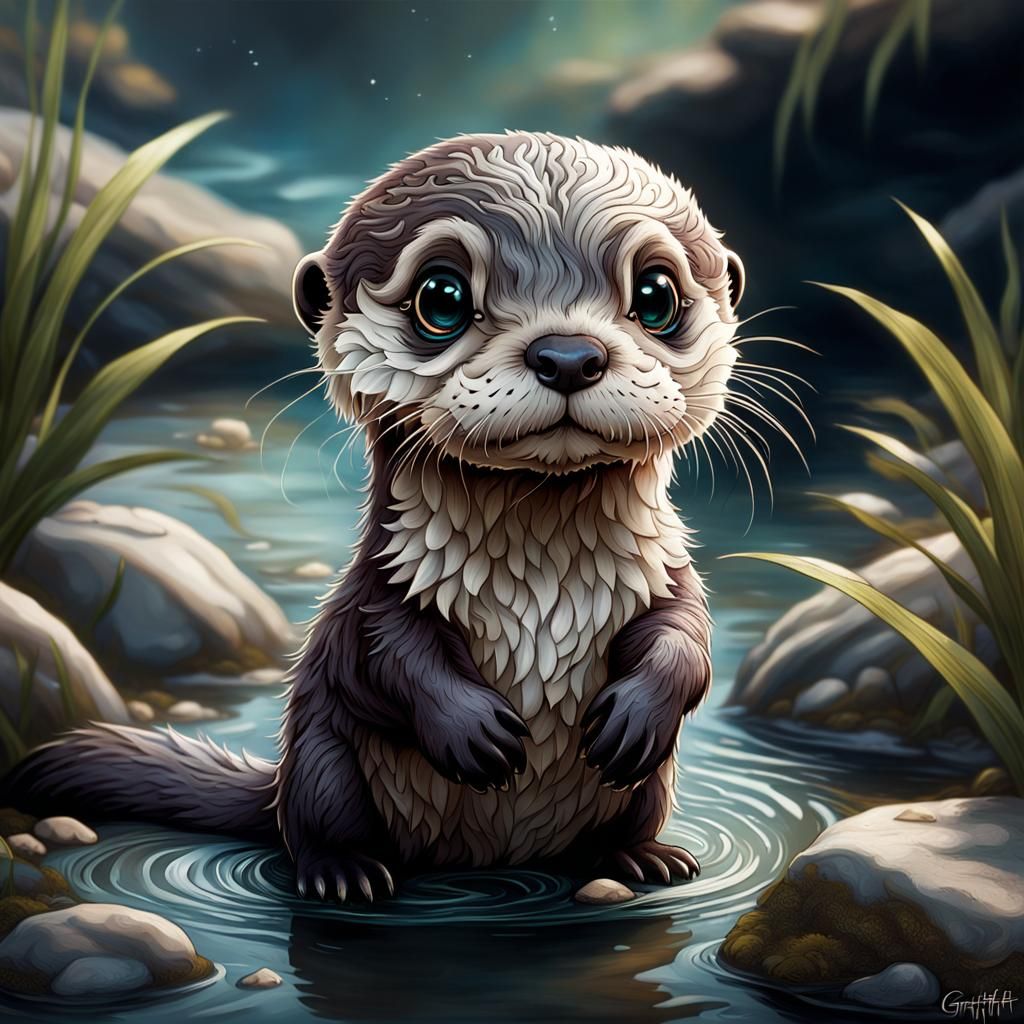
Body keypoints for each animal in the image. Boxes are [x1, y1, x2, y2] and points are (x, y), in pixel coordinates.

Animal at [6, 131, 746, 902]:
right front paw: (471, 729)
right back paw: (345, 872)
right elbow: (386, 654)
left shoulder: (667, 575)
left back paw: (641, 857)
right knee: (317, 822)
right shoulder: (385, 585)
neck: (544, 580)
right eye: (442, 297)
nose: (569, 354)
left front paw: (641, 710)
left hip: (646, 789)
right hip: (322, 759)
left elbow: (686, 638)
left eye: (656, 294)